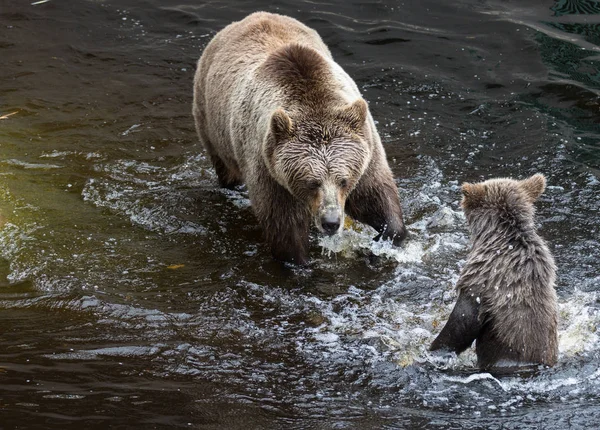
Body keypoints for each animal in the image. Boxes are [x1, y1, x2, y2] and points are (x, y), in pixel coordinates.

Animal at [195, 11, 406, 264]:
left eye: (343, 180)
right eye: (312, 182)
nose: (331, 222)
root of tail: (253, 16)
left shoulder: (366, 151)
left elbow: (375, 195)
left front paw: (381, 241)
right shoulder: (269, 169)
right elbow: (285, 226)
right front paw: (299, 260)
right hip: (211, 123)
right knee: (226, 168)